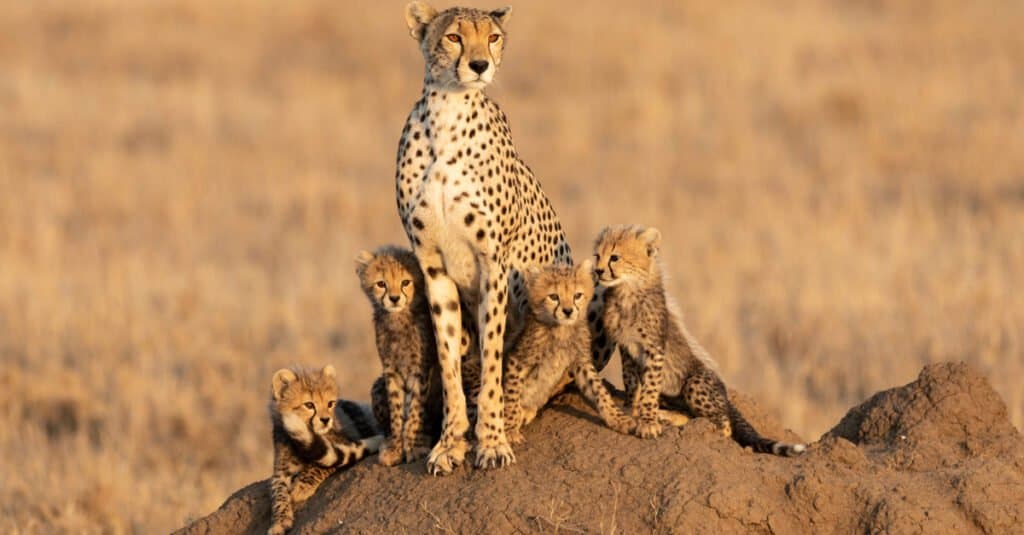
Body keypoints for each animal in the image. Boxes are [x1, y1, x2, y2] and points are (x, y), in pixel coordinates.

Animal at [391, 3, 606, 471]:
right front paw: (450, 442)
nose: (479, 65)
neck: (447, 115)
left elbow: (493, 359)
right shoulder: (433, 266)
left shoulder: (494, 265)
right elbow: (449, 358)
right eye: (453, 36)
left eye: (492, 37)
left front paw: (490, 440)